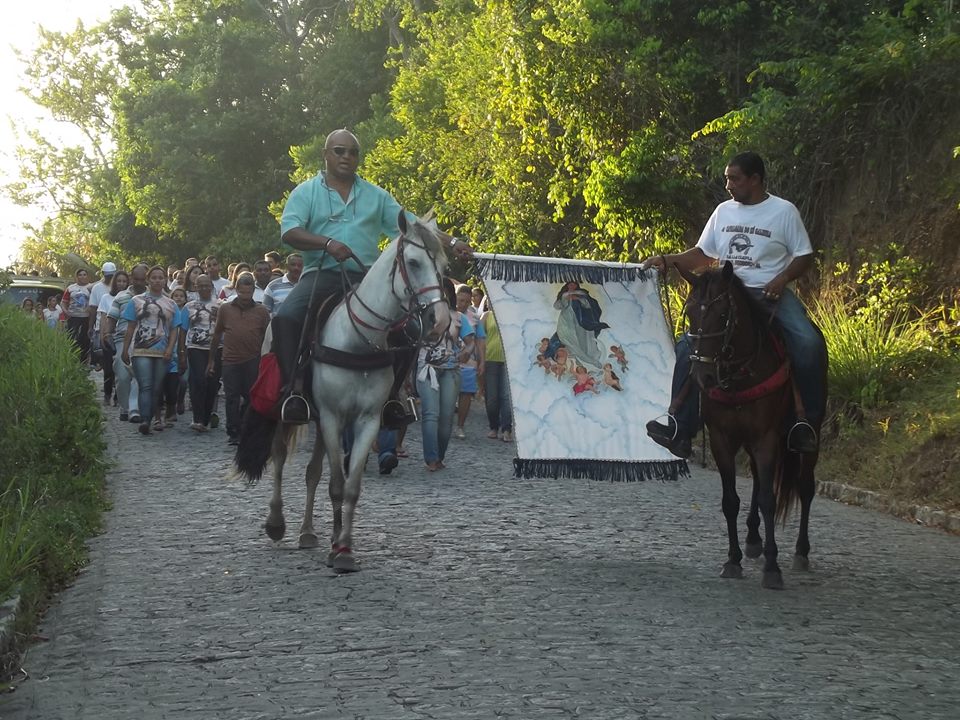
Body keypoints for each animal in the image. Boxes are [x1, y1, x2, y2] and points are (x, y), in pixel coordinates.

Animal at [242, 214, 452, 572]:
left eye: (442, 265)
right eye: (412, 262)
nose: (438, 321)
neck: (358, 341)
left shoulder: (365, 419)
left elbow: (349, 486)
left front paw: (343, 547)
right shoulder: (331, 415)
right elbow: (336, 485)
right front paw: (336, 547)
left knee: (313, 473)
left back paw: (309, 532)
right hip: (293, 413)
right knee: (280, 458)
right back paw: (276, 523)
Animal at [676, 262, 824, 588]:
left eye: (722, 315)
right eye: (690, 312)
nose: (703, 376)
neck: (740, 373)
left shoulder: (765, 437)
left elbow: (769, 499)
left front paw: (772, 568)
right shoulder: (722, 439)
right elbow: (730, 500)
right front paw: (733, 560)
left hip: (810, 436)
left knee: (805, 487)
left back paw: (801, 552)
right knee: (757, 478)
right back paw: (754, 539)